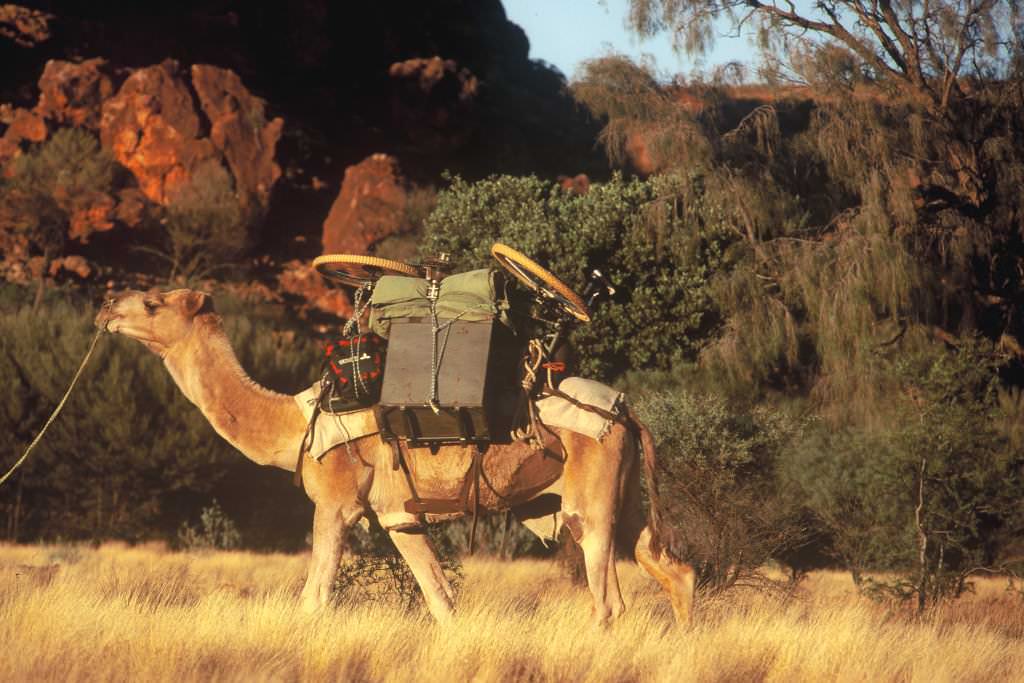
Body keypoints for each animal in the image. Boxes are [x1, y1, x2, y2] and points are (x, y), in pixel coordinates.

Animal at [96, 288, 696, 626]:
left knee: (608, 600)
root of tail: (626, 413)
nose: (106, 306)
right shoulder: (398, 515)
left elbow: (315, 598)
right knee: (671, 568)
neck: (297, 423)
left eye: (152, 303)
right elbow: (441, 600)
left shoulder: (336, 502)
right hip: (624, 493)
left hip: (589, 499)